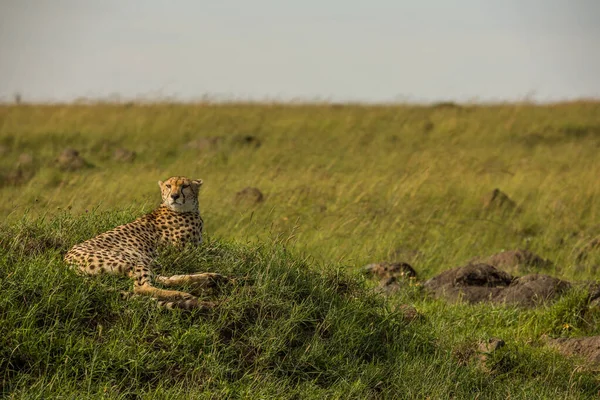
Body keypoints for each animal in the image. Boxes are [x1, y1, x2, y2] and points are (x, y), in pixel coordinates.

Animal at [63, 175, 227, 310]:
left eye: (185, 186)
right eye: (168, 186)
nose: (174, 196)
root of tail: (66, 261)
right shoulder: (181, 253)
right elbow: (214, 252)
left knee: (162, 278)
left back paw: (208, 278)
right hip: (132, 258)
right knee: (142, 287)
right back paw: (181, 294)